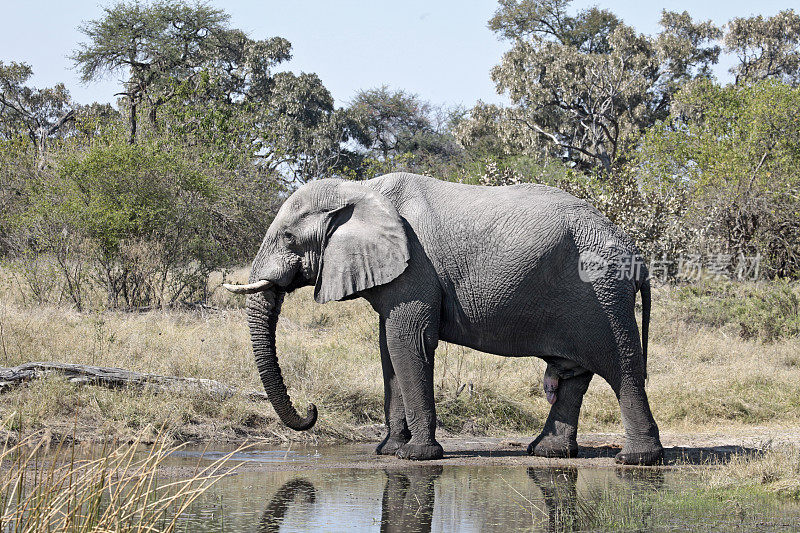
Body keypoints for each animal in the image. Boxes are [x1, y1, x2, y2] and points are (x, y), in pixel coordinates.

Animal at [225, 171, 664, 466]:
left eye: (288, 237)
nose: (312, 410)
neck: (359, 188)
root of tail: (636, 253)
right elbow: (388, 350)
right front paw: (388, 451)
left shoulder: (415, 268)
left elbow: (408, 343)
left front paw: (417, 456)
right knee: (575, 374)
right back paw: (548, 453)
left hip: (601, 291)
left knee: (621, 366)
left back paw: (635, 460)